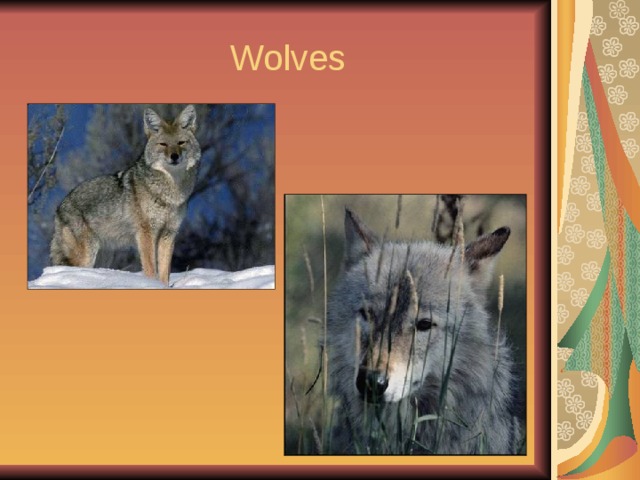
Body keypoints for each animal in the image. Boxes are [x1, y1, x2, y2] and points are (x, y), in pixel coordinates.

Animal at [50, 105, 201, 285]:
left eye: (181, 143)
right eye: (163, 144)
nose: (174, 156)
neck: (170, 192)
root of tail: (59, 207)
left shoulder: (168, 234)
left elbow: (165, 272)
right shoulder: (146, 233)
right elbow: (151, 269)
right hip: (86, 256)